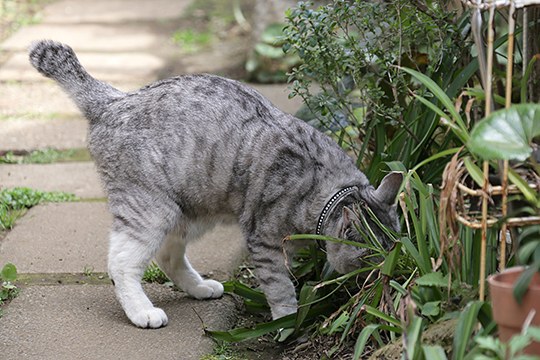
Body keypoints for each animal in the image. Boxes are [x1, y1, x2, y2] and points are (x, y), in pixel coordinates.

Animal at [28, 40, 400, 330]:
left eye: (393, 250)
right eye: (368, 259)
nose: (384, 278)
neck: (321, 183)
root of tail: (114, 100)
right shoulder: (264, 243)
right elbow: (280, 288)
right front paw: (286, 324)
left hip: (187, 212)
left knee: (168, 256)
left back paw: (200, 287)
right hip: (151, 211)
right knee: (121, 263)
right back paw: (143, 312)